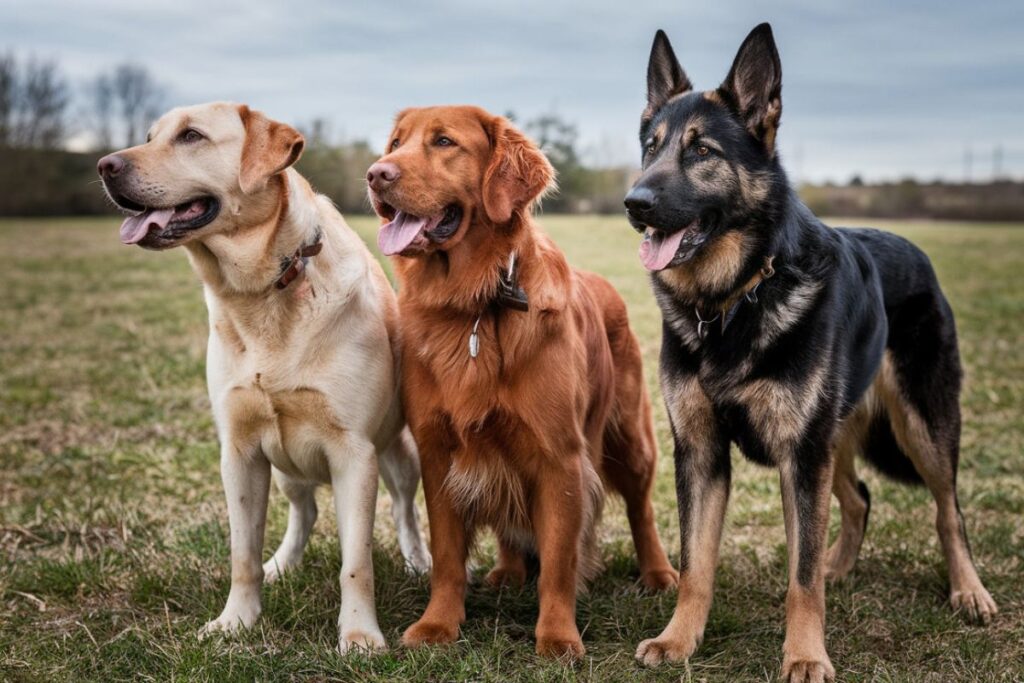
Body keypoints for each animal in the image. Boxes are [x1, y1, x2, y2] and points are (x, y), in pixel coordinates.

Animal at [96, 101, 428, 651]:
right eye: (148, 136)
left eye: (191, 136)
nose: (104, 165)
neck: (264, 290)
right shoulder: (240, 450)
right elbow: (242, 554)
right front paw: (236, 622)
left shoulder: (354, 452)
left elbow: (355, 563)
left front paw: (360, 636)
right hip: (287, 463)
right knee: (303, 511)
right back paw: (284, 564)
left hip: (400, 453)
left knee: (404, 510)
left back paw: (419, 563)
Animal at [364, 105, 675, 655]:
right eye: (395, 143)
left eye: (443, 142)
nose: (376, 174)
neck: (475, 305)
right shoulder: (439, 453)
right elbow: (447, 557)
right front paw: (438, 624)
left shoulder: (560, 459)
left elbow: (558, 562)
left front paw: (557, 636)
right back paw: (507, 572)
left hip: (630, 438)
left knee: (642, 509)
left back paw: (657, 573)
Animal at [626, 24, 995, 679]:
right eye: (652, 147)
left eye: (702, 152)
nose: (634, 203)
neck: (735, 300)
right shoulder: (703, 453)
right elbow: (696, 564)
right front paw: (679, 639)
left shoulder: (801, 456)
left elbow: (800, 578)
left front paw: (804, 655)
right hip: (836, 437)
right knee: (858, 499)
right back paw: (838, 566)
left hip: (921, 426)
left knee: (947, 510)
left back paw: (968, 591)